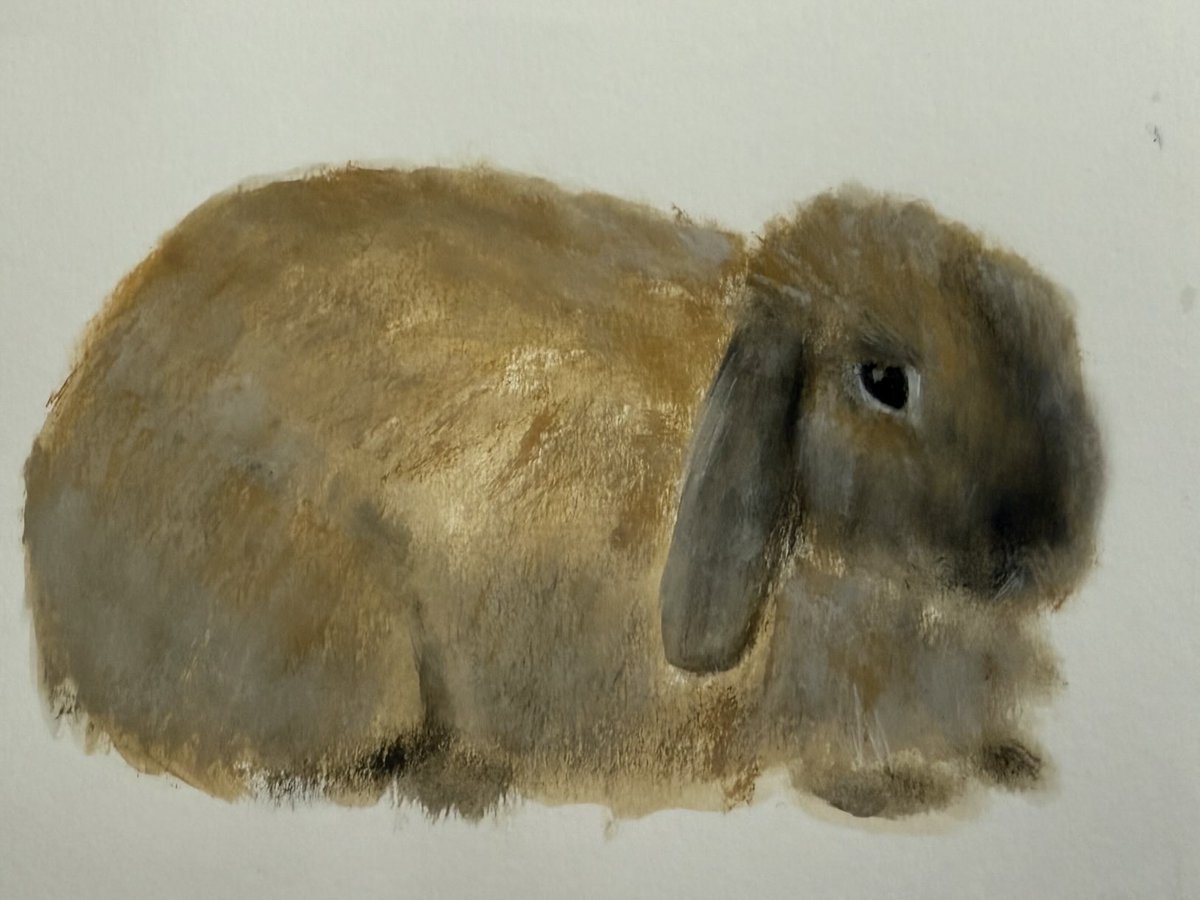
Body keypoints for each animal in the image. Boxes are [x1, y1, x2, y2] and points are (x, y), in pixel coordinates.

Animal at [22, 165, 1104, 819]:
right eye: (885, 382)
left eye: (1052, 337)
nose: (1042, 553)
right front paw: (906, 790)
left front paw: (1015, 762)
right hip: (337, 639)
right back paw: (457, 779)